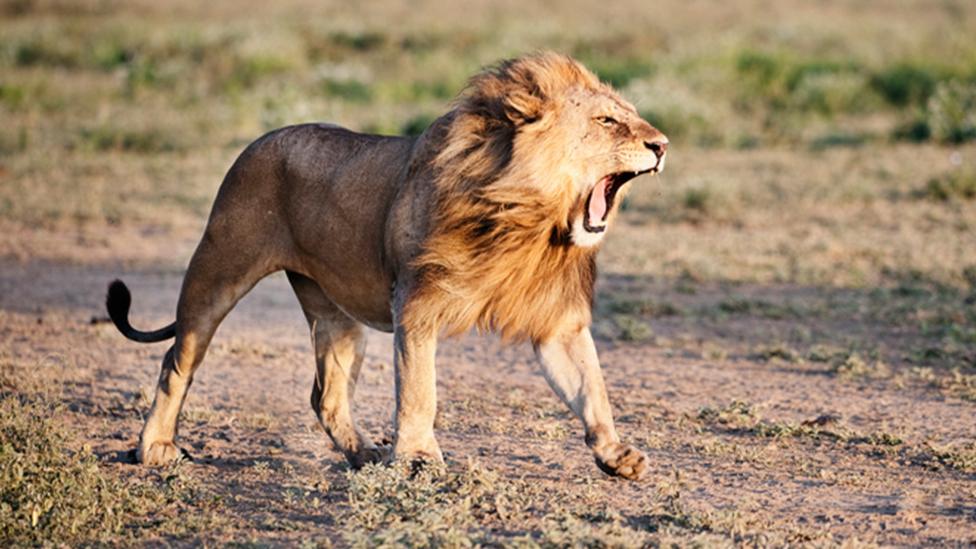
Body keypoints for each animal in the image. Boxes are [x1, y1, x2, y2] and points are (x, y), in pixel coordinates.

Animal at [107, 52, 668, 480]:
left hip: (334, 315)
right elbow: (420, 392)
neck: (526, 221)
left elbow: (591, 387)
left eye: (630, 115)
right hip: (217, 269)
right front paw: (418, 458)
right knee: (176, 362)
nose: (662, 145)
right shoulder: (416, 306)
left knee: (326, 396)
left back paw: (364, 456)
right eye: (607, 122)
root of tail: (262, 138)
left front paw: (615, 454)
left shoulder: (558, 322)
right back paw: (153, 448)